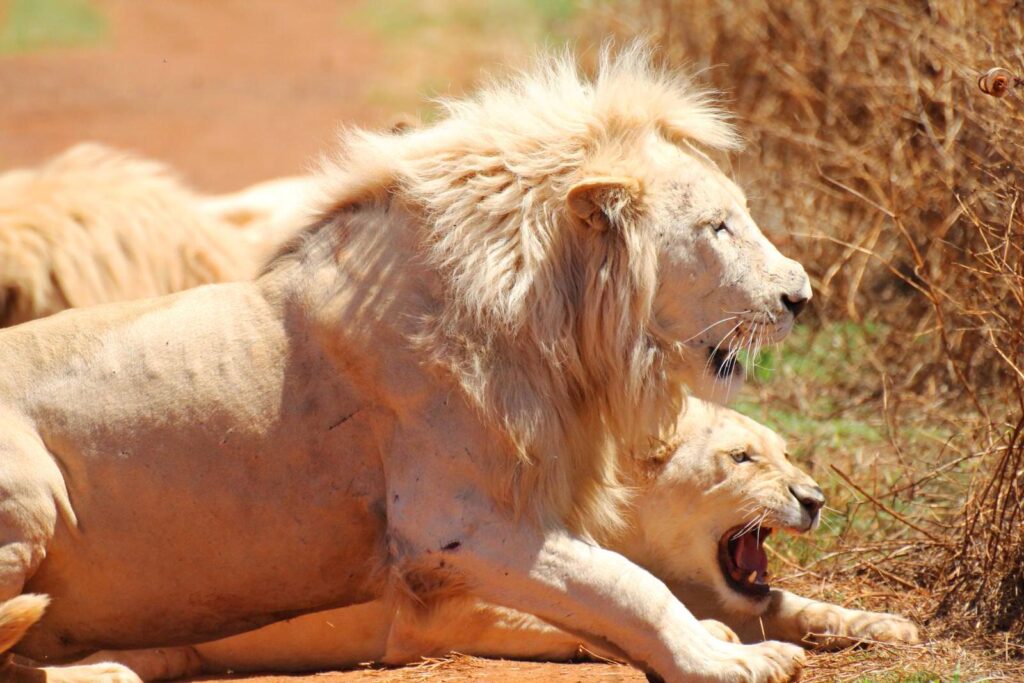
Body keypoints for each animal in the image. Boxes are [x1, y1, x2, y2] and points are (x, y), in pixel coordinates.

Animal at [69, 398, 919, 680]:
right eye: (742, 459)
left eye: (785, 453)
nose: (814, 497)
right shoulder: (440, 610)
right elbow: (582, 616)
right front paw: (714, 637)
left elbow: (795, 603)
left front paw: (887, 624)